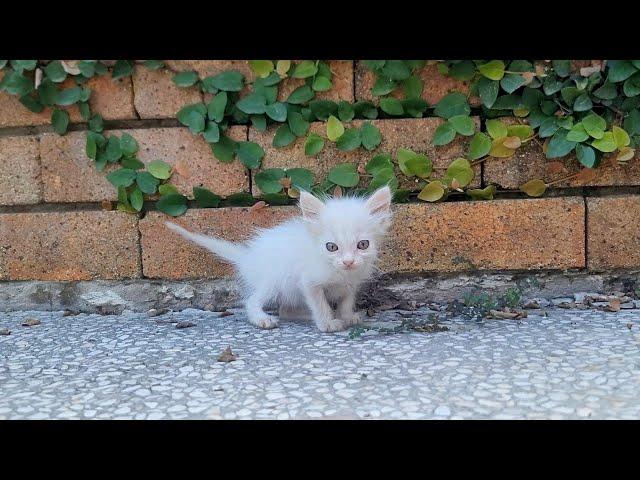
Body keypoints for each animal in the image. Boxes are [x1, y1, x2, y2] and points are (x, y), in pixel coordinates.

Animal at [165, 186, 392, 332]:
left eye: (363, 245)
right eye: (331, 247)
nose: (348, 261)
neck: (340, 272)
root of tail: (248, 258)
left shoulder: (351, 283)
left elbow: (346, 300)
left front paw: (346, 316)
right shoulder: (308, 282)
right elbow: (319, 303)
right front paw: (327, 323)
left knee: (285, 311)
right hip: (274, 281)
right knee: (252, 301)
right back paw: (261, 319)